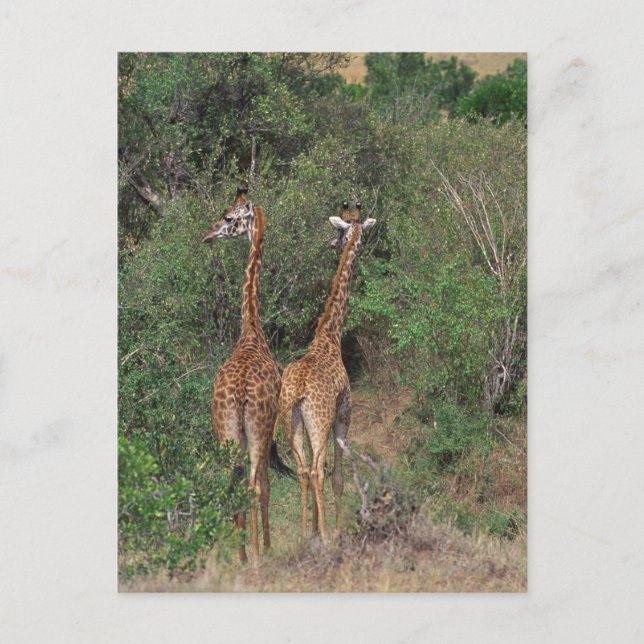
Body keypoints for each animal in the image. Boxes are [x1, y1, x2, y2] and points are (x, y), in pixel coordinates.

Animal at [277, 201, 376, 543]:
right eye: (343, 230)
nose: (332, 243)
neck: (329, 336)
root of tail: (298, 392)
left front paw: (315, 528)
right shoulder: (343, 415)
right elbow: (339, 477)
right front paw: (335, 526)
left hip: (291, 423)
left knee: (303, 470)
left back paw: (304, 534)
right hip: (320, 421)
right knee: (319, 470)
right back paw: (327, 536)